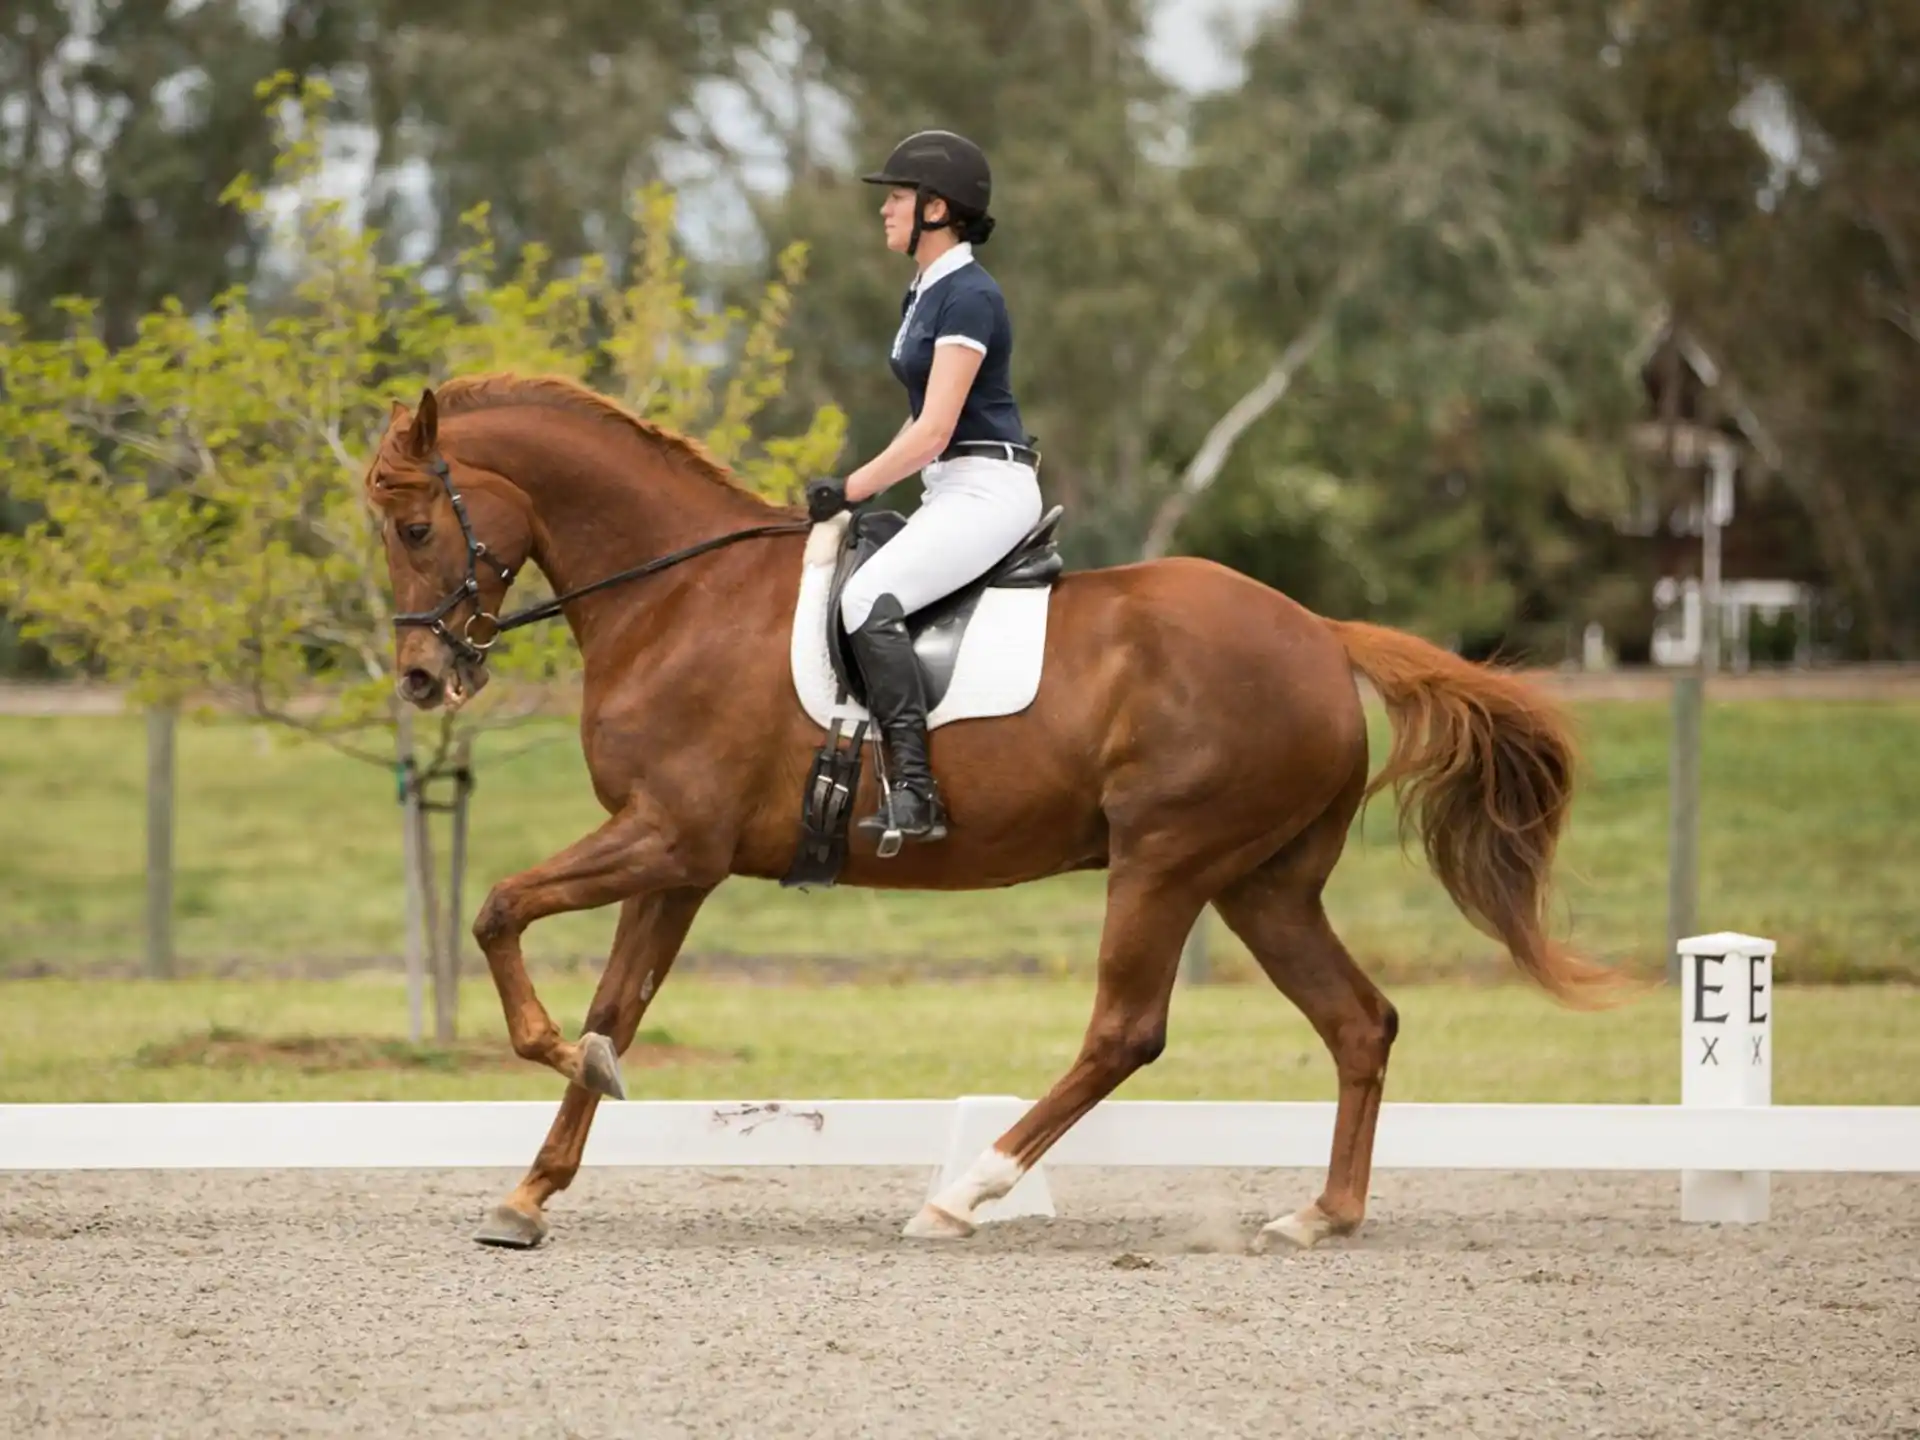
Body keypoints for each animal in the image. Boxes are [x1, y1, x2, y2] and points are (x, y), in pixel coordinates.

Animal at [363, 372, 1622, 1252]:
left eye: (417, 529)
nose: (423, 680)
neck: (680, 594)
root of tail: (1321, 632)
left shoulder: (670, 835)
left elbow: (498, 909)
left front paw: (543, 1053)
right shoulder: (677, 862)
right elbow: (614, 1010)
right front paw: (531, 1192)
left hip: (1167, 862)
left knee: (1126, 1030)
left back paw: (966, 1194)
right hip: (1262, 885)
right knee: (1360, 1023)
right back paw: (1322, 1215)